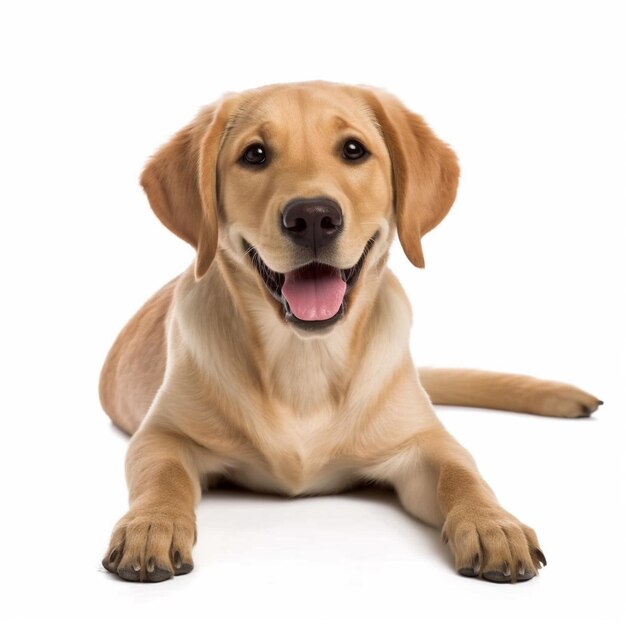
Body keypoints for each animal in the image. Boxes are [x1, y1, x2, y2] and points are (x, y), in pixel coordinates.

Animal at [101, 81, 600, 580]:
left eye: (354, 150)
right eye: (255, 154)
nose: (312, 217)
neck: (306, 357)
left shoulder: (424, 443)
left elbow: (462, 474)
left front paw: (492, 524)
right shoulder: (160, 435)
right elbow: (162, 476)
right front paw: (151, 525)